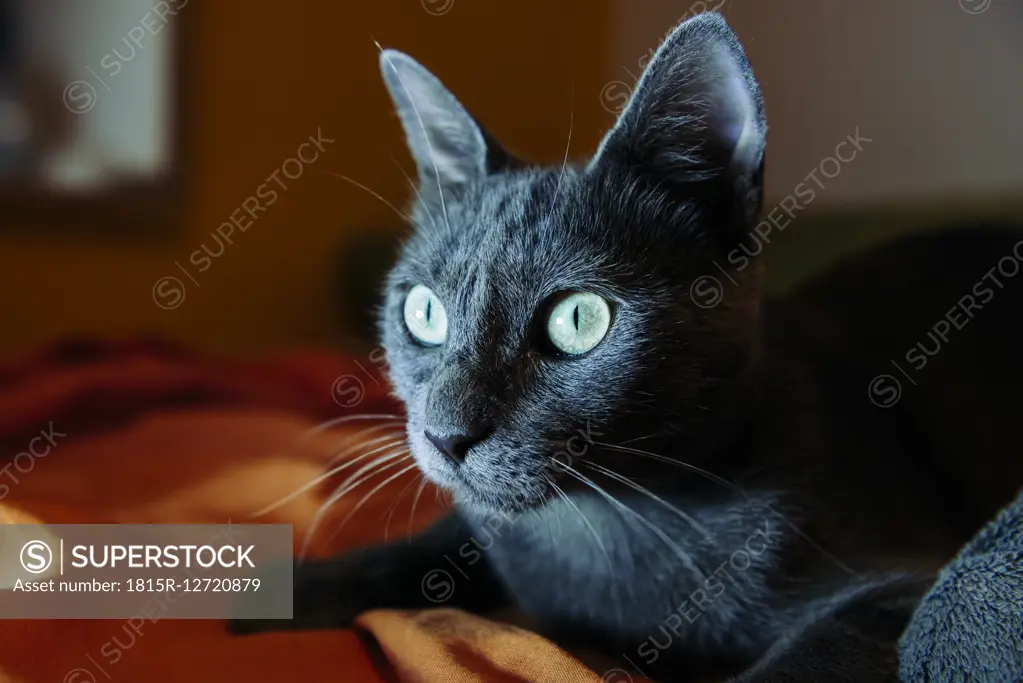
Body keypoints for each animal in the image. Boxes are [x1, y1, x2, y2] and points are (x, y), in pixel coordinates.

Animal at [235, 12, 1023, 683]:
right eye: (423, 311)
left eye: (579, 319)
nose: (445, 434)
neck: (604, 524)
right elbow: (424, 546)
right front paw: (275, 592)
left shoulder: (897, 582)